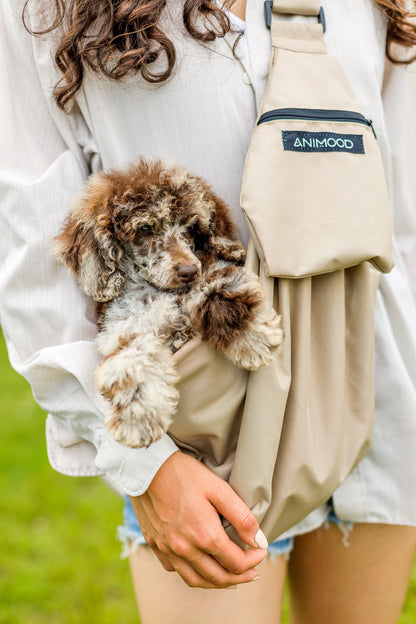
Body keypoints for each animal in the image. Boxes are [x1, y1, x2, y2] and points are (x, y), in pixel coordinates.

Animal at [55, 158, 282, 446]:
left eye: (191, 226)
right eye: (144, 228)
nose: (188, 271)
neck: (156, 291)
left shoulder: (212, 268)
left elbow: (216, 288)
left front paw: (252, 338)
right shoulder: (124, 332)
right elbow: (132, 361)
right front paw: (137, 419)